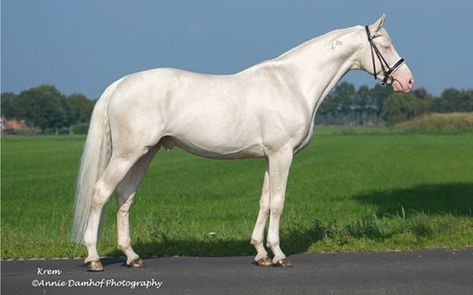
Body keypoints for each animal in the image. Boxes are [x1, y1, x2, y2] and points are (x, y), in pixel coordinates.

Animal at [71, 15, 412, 272]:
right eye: (384, 44)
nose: (406, 81)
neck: (293, 84)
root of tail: (119, 84)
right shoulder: (282, 154)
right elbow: (278, 202)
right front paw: (279, 255)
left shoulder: (270, 157)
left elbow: (264, 201)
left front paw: (261, 254)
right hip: (127, 155)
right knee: (101, 193)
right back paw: (93, 258)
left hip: (144, 154)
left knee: (124, 198)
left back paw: (132, 257)